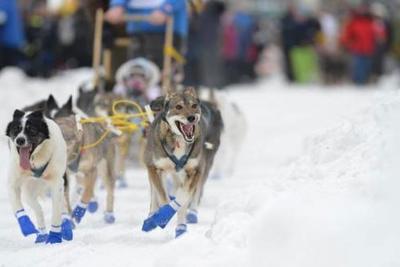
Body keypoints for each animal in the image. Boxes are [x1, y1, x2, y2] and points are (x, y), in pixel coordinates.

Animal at [5, 109, 72, 245]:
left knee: (63, 206)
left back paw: (66, 226)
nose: (20, 140)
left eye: (31, 130)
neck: (35, 160)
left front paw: (54, 237)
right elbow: (18, 207)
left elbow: (56, 213)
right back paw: (41, 234)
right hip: (28, 191)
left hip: (62, 183)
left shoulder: (56, 183)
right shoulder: (13, 184)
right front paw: (27, 227)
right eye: (16, 129)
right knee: (38, 209)